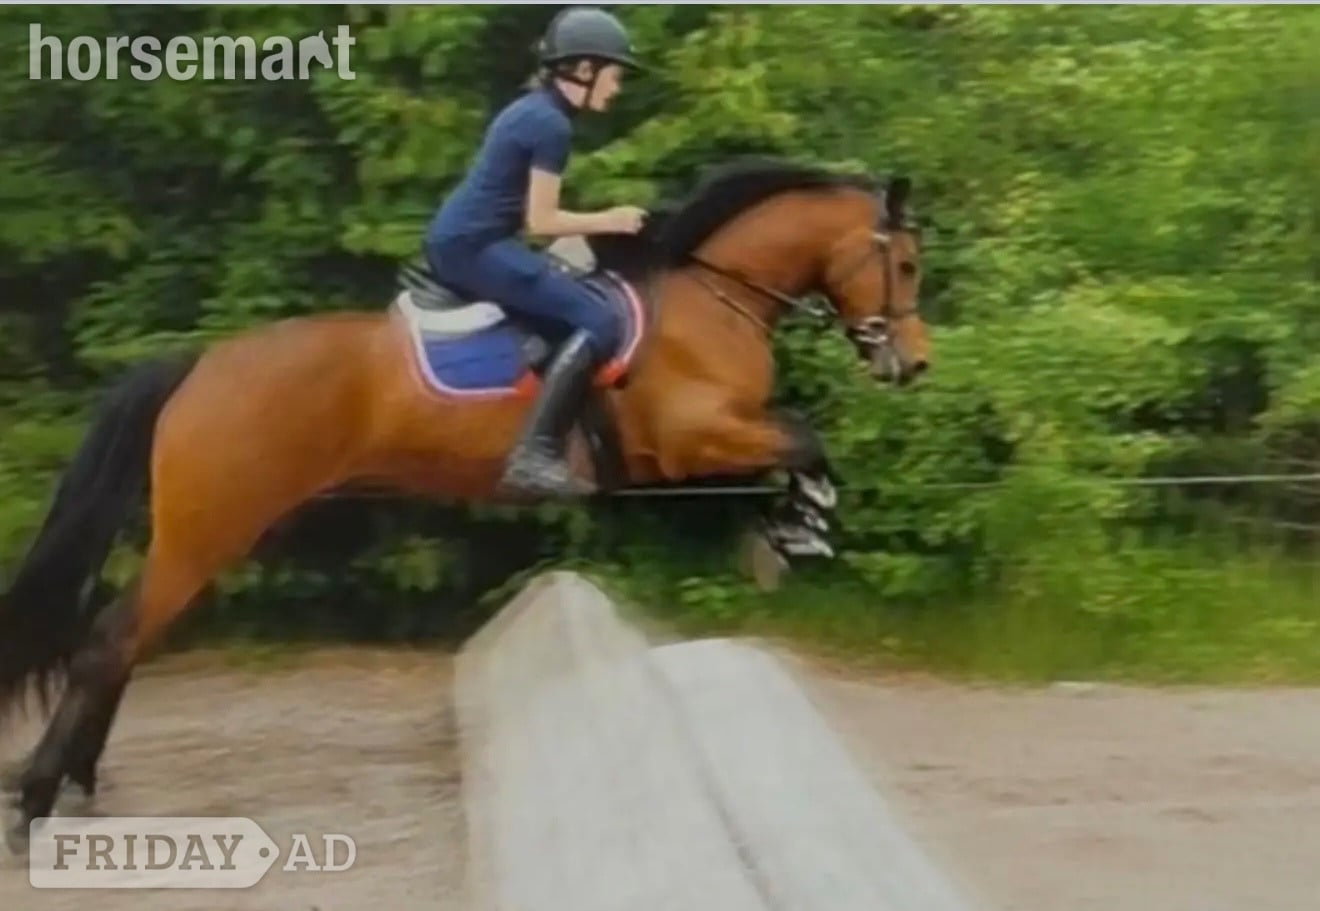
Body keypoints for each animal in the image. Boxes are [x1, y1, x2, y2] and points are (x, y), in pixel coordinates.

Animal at [0, 156, 928, 849]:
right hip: (209, 532)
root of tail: (200, 363)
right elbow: (804, 437)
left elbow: (802, 439)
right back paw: (39, 796)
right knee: (111, 639)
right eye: (907, 264)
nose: (913, 364)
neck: (709, 295)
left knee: (118, 636)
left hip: (198, 535)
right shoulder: (695, 437)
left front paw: (791, 527)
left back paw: (77, 780)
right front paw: (793, 530)